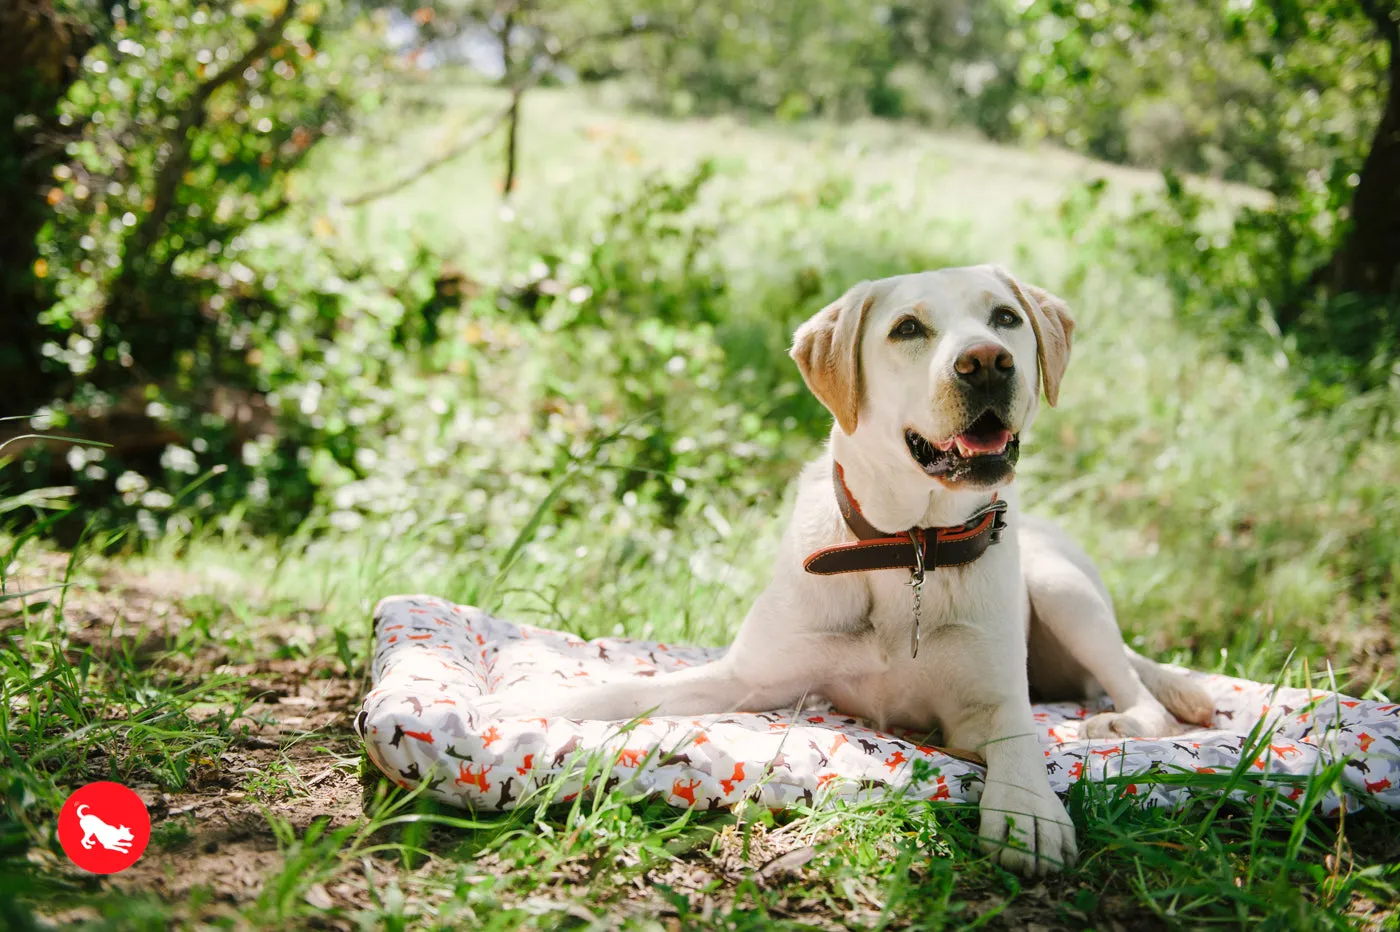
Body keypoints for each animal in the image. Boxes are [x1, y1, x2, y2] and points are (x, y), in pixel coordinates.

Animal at [487, 264, 1209, 873]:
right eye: (908, 328)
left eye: (1005, 318)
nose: (987, 362)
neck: (907, 547)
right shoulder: (747, 679)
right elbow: (622, 693)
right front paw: (532, 699)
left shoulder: (990, 703)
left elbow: (1019, 739)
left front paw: (1028, 809)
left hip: (1061, 587)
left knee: (1142, 697)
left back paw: (1121, 719)